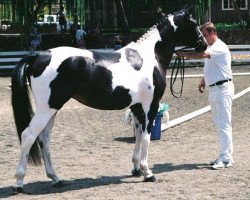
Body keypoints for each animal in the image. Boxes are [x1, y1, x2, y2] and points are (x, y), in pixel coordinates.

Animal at [11, 5, 207, 192]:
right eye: (193, 23)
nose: (203, 45)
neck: (150, 56)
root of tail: (39, 55)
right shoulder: (149, 106)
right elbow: (146, 136)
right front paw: (148, 172)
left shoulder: (136, 106)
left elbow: (138, 135)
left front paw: (136, 169)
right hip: (47, 109)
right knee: (28, 135)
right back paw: (19, 183)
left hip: (52, 110)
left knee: (44, 140)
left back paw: (56, 178)